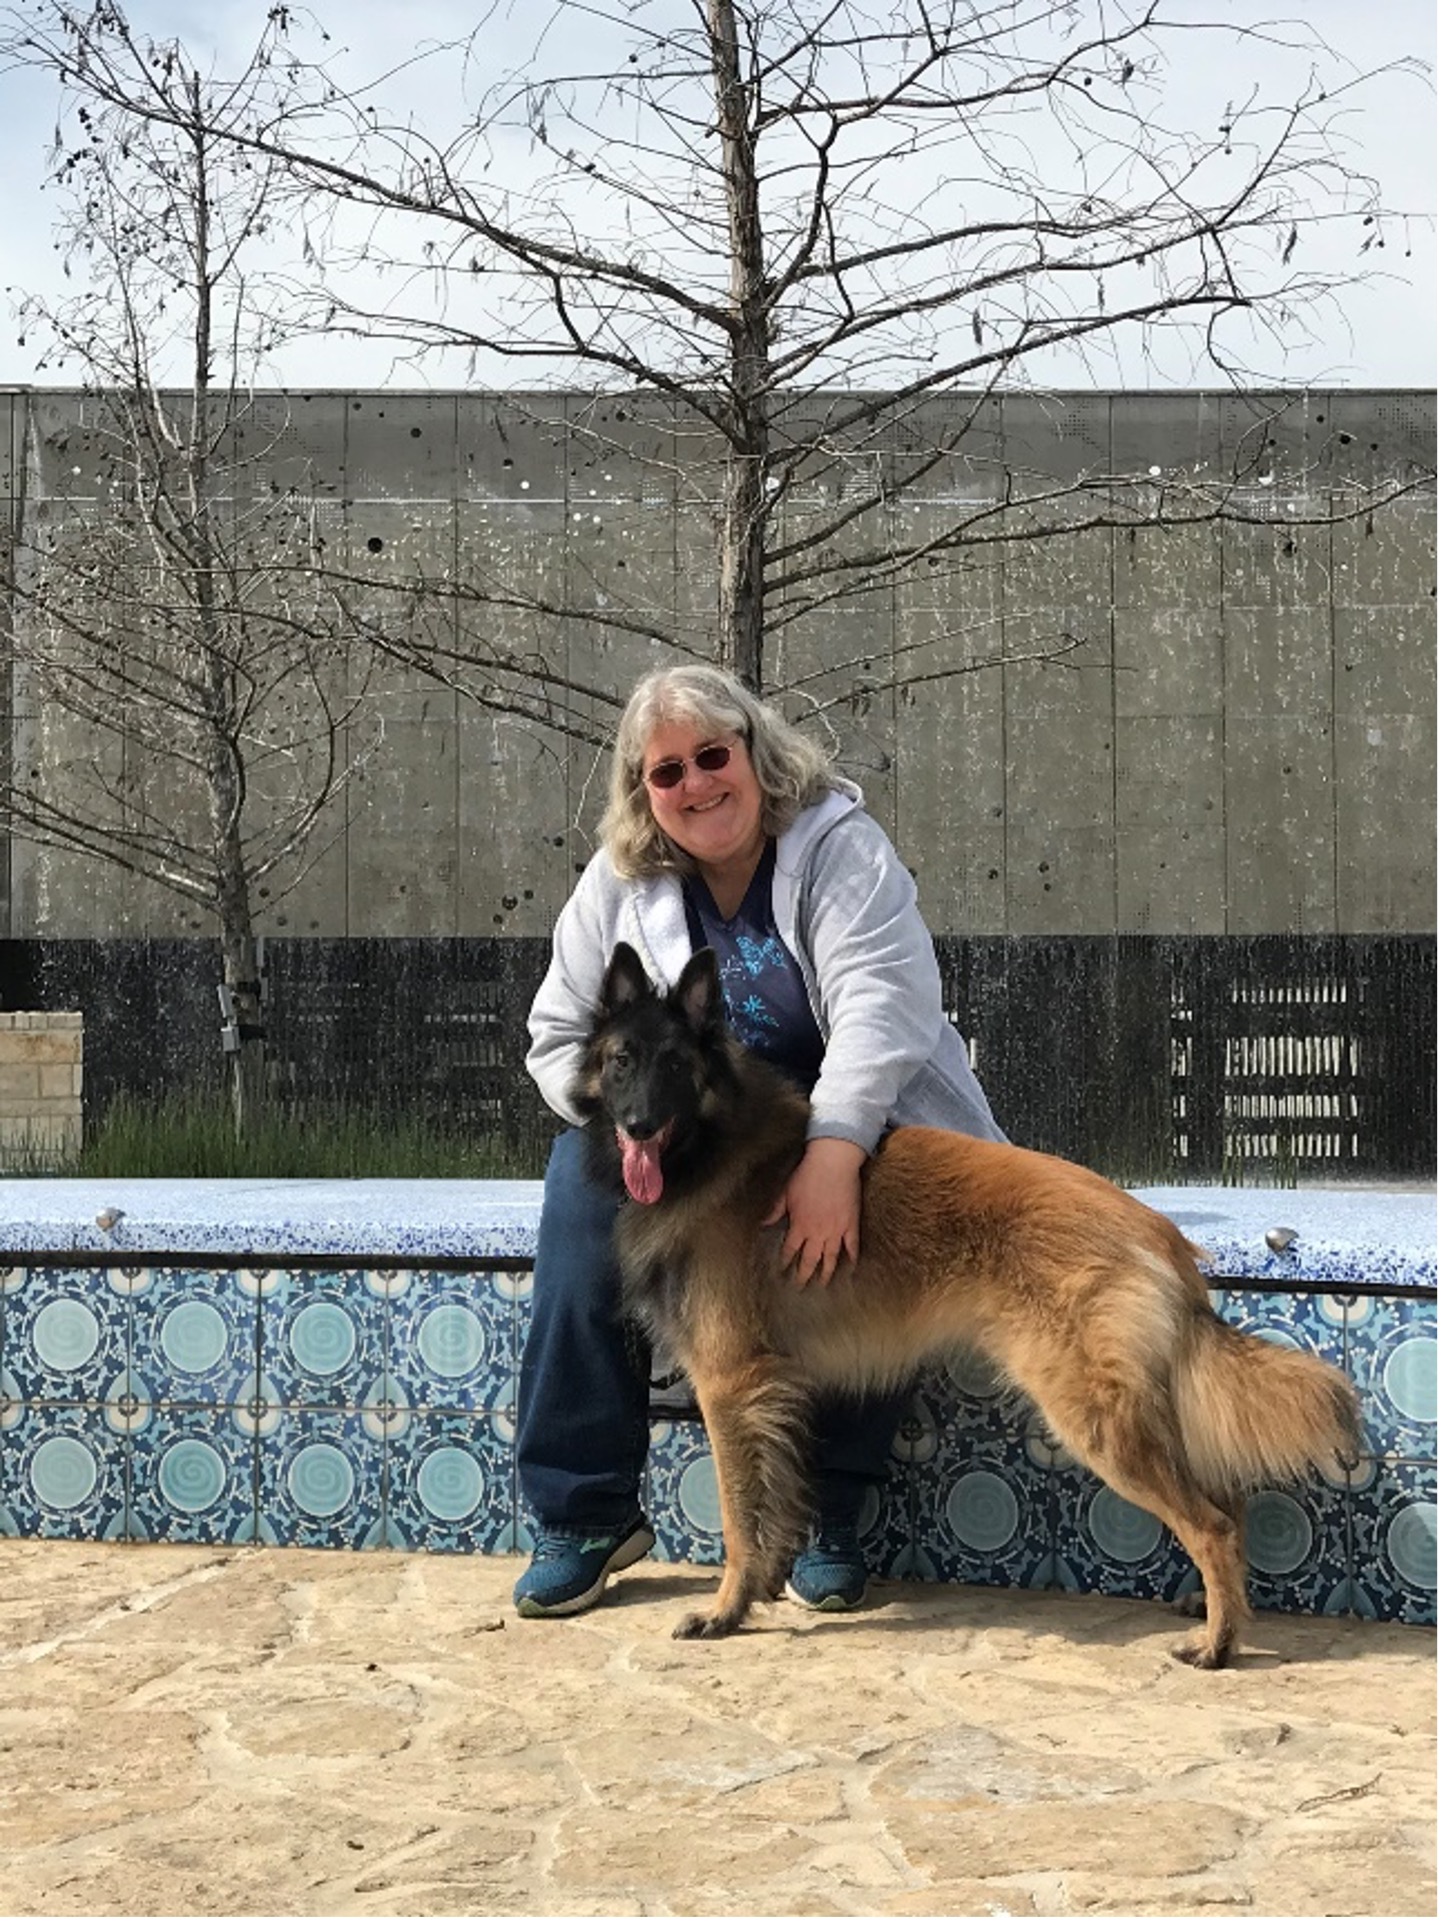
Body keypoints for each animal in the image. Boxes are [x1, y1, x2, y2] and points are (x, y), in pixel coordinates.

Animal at [576, 945, 1367, 1667]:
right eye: (621, 1061)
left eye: (676, 1064)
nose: (639, 1125)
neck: (714, 1148)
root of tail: (1156, 1228)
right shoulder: (769, 1392)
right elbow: (776, 1497)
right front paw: (759, 1591)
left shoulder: (728, 1385)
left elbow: (741, 1513)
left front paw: (724, 1611)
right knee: (1224, 1502)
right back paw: (1209, 1605)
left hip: (1091, 1416)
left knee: (1211, 1523)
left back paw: (1219, 1641)